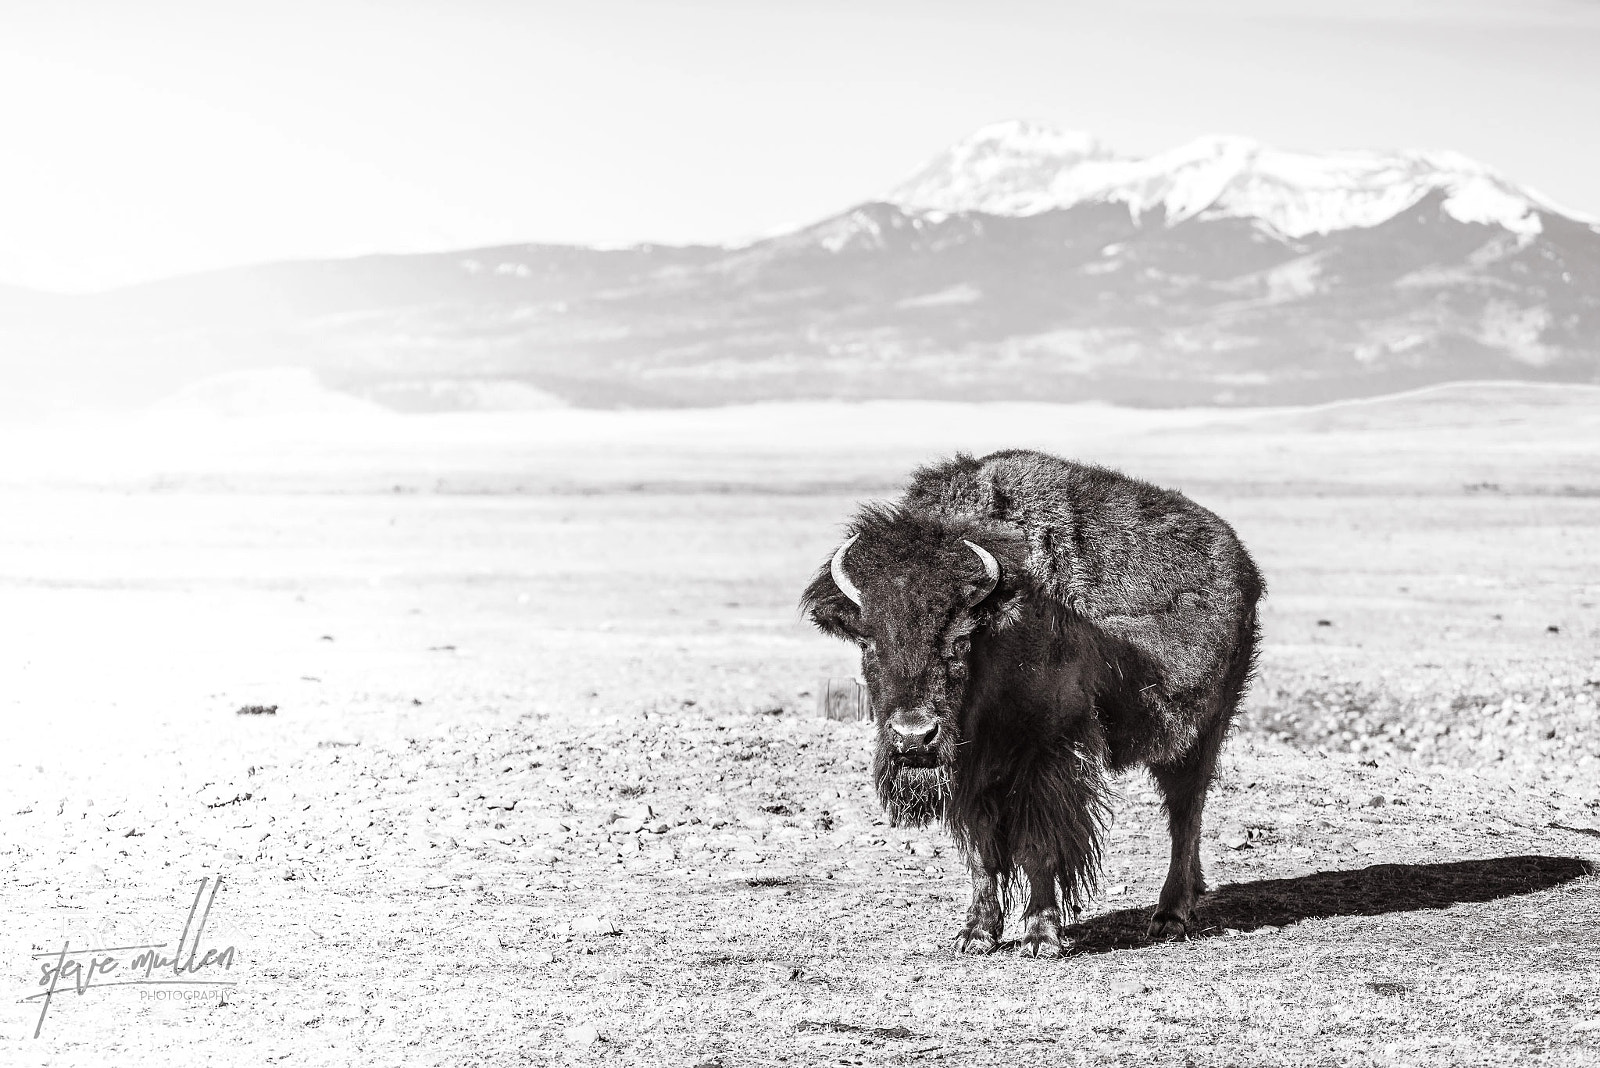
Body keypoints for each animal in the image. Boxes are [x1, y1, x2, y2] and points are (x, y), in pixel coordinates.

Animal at [801, 450, 1263, 956]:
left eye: (960, 640)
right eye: (868, 642)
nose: (914, 738)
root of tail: (1243, 565)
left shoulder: (1047, 756)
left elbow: (1037, 846)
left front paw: (1041, 937)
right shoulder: (973, 775)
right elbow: (982, 853)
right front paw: (975, 934)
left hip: (1199, 735)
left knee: (1185, 814)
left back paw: (1170, 916)